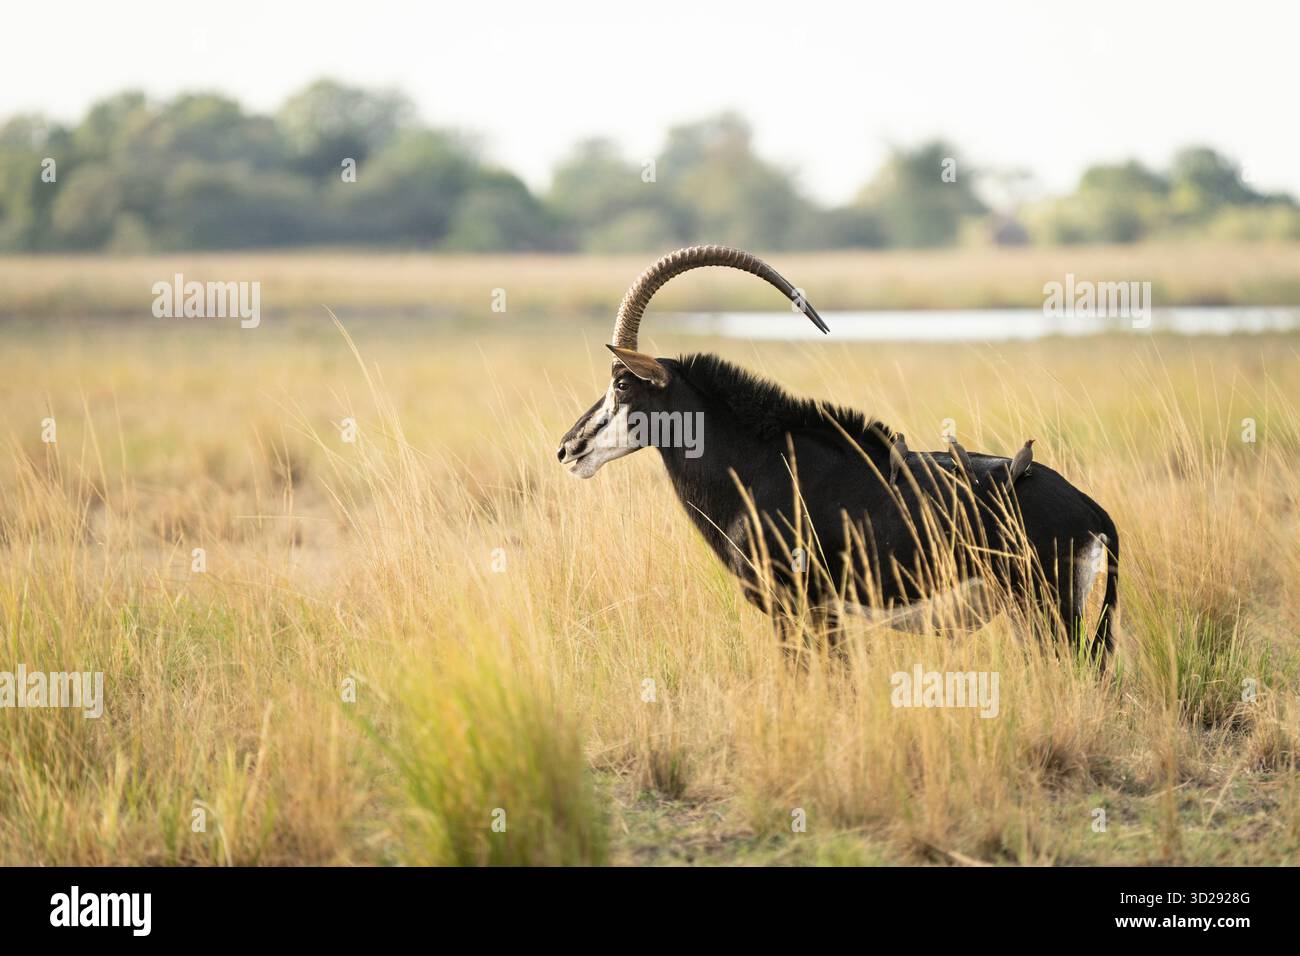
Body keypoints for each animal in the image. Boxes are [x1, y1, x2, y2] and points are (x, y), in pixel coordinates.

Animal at [557, 246, 1118, 659]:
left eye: (623, 384)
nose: (568, 448)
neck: (759, 462)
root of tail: (1093, 511)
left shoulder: (795, 605)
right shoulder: (823, 613)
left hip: (1047, 610)